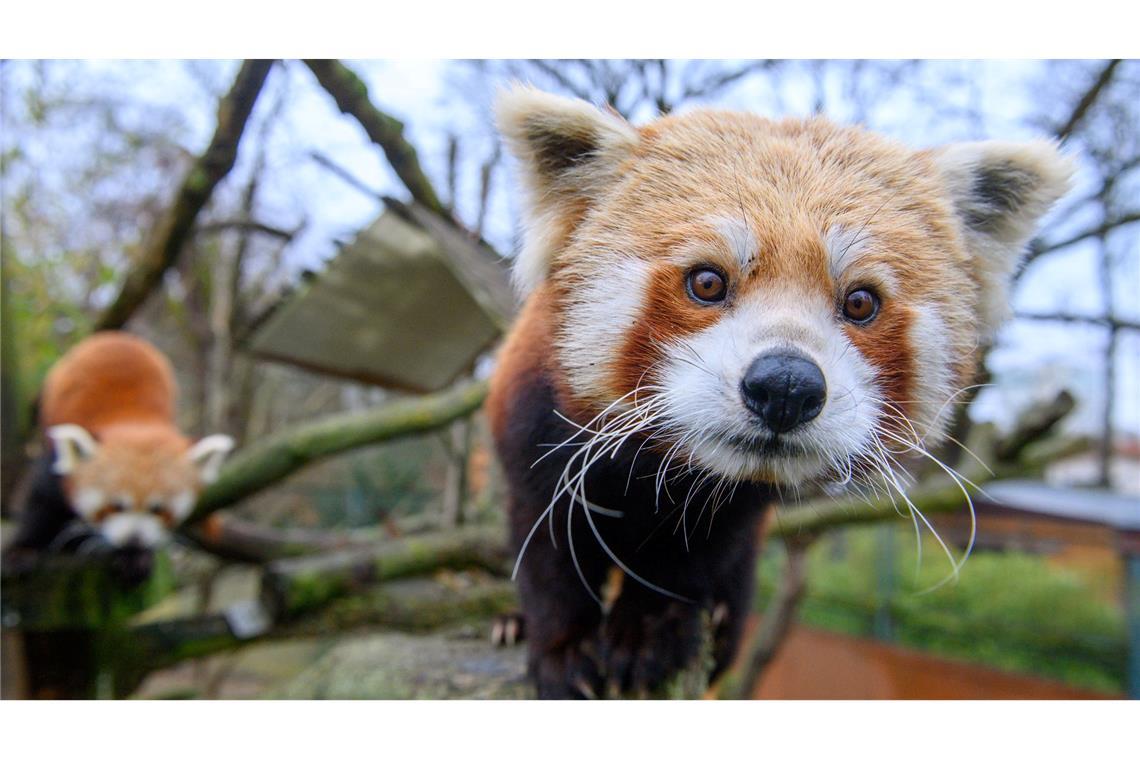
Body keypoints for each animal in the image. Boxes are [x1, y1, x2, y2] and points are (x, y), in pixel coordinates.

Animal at [6, 330, 233, 587]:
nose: (134, 539)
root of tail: (117, 336)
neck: (135, 421)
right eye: (115, 506)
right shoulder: (55, 467)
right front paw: (22, 550)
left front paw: (136, 558)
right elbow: (40, 504)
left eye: (157, 509)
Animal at [485, 86, 1071, 697]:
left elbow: (695, 556)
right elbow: (549, 543)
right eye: (707, 281)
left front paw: (650, 634)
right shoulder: (535, 424)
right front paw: (564, 648)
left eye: (861, 301)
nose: (786, 385)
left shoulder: (738, 509)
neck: (657, 470)